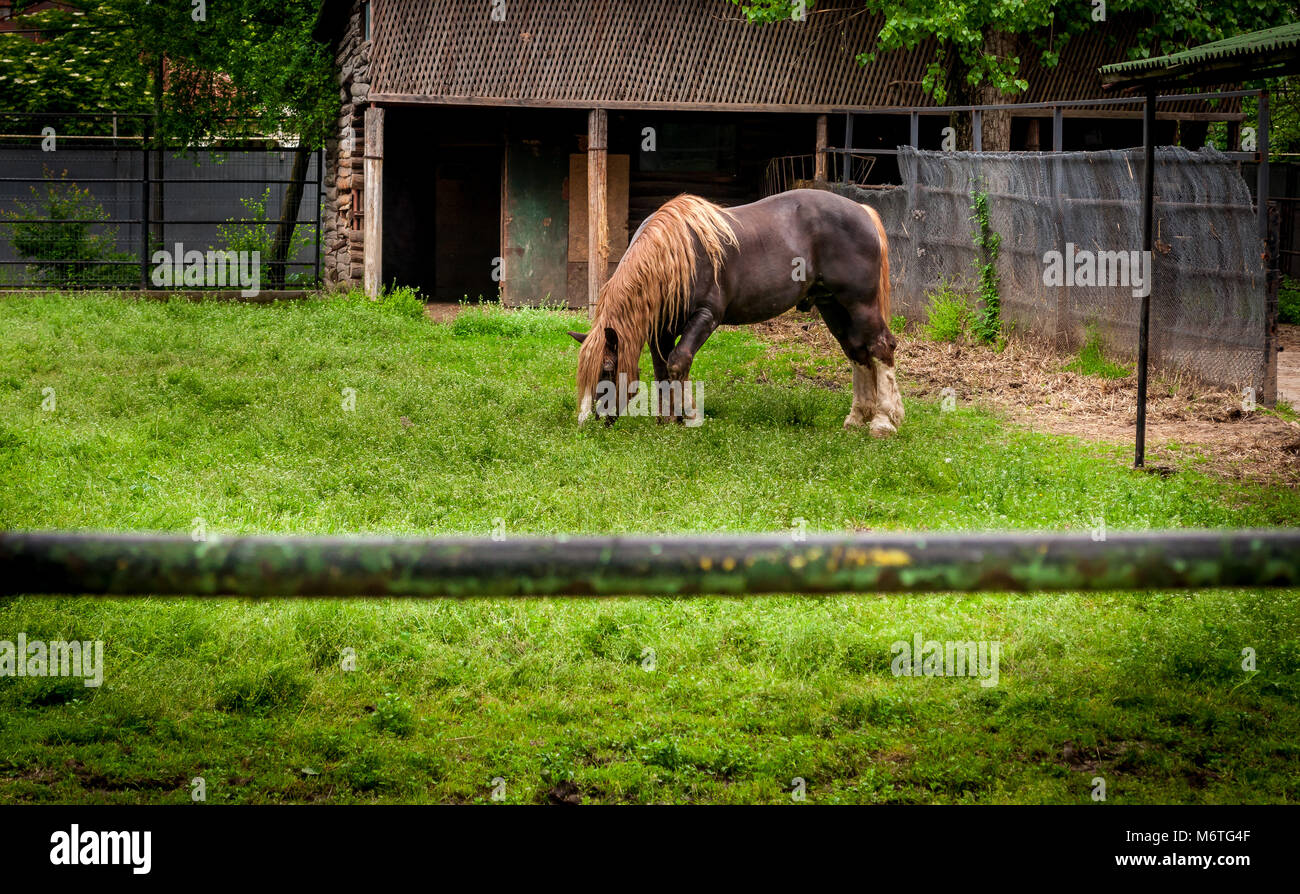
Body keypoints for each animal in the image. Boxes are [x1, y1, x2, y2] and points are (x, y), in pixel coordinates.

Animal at [569, 187, 904, 437]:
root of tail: (862, 210)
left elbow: (679, 363)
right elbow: (663, 371)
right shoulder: (661, 330)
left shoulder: (706, 317)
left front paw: (689, 416)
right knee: (857, 352)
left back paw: (883, 422)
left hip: (860, 304)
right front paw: (668, 419)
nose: (587, 422)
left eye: (607, 370)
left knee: (880, 347)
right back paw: (857, 418)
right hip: (832, 306)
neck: (674, 255)